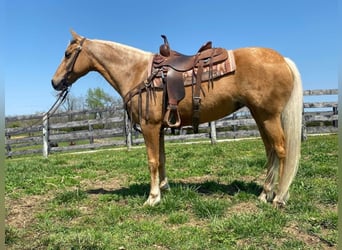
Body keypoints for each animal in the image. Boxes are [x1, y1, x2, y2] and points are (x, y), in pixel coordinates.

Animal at [50, 30, 302, 207]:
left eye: (68, 54)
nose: (55, 82)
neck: (136, 72)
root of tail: (283, 60)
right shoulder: (159, 128)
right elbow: (161, 158)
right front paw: (164, 187)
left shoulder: (149, 126)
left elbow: (152, 160)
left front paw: (153, 197)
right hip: (260, 116)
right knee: (270, 151)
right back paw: (264, 194)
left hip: (268, 117)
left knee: (281, 150)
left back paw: (278, 197)